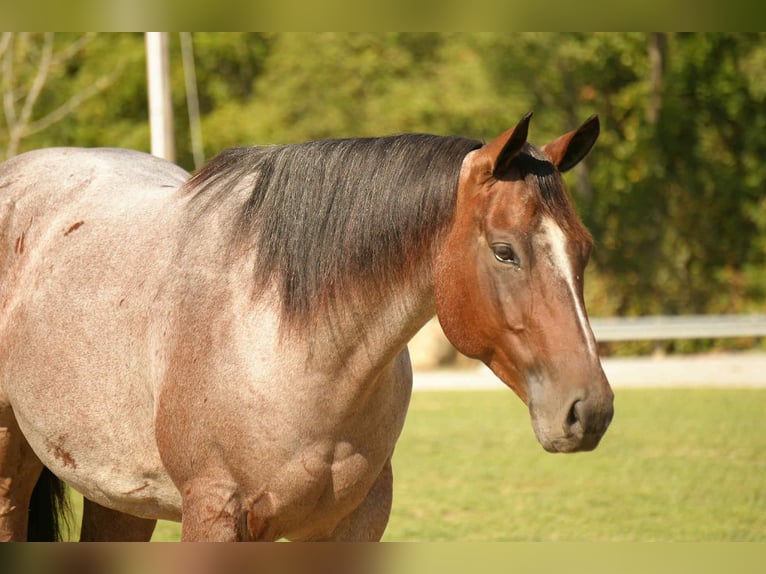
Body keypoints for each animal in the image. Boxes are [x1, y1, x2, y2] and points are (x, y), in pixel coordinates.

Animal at [0, 112, 613, 541]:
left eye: (584, 250)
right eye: (505, 251)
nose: (590, 411)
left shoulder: (351, 525)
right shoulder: (215, 514)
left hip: (118, 493)